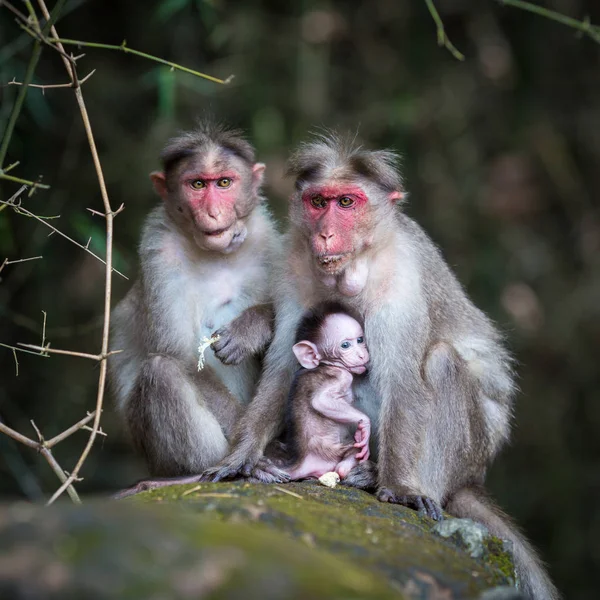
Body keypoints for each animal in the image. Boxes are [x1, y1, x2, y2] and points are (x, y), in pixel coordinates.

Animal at [284, 302, 372, 480]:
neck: (327, 364)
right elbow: (321, 401)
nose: (362, 355)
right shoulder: (341, 376)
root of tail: (301, 464)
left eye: (360, 340)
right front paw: (365, 428)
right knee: (345, 463)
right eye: (345, 345)